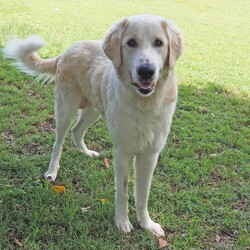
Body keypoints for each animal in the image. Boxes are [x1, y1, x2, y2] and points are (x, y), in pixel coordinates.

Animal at [2, 14, 184, 237]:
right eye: (131, 42)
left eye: (159, 43)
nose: (146, 71)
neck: (144, 104)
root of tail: (67, 50)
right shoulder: (123, 152)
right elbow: (123, 192)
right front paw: (122, 222)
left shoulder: (150, 154)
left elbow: (143, 195)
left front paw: (147, 224)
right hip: (65, 110)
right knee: (58, 143)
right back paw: (52, 172)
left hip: (93, 110)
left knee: (76, 131)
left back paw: (87, 153)